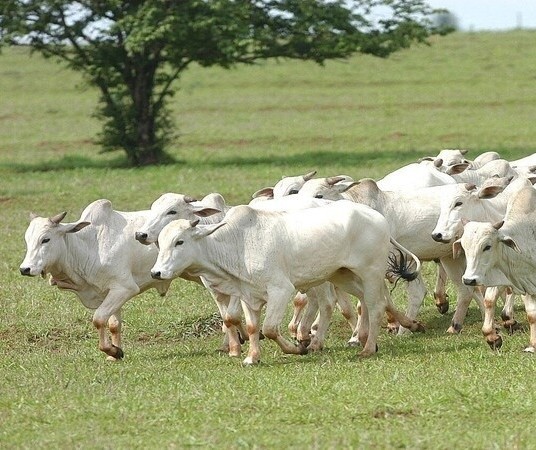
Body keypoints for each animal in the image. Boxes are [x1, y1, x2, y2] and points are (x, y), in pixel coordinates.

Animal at [18, 200, 172, 358]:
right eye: (27, 240)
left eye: (45, 239)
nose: (25, 269)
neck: (90, 246)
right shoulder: (110, 292)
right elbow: (114, 324)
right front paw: (114, 354)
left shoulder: (125, 288)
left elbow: (99, 319)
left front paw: (112, 350)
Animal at [150, 202, 422, 364]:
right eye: (160, 243)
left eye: (180, 242)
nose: (156, 272)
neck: (238, 244)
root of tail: (377, 217)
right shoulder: (248, 295)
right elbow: (252, 328)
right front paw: (252, 358)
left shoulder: (281, 290)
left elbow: (270, 329)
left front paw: (297, 348)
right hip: (342, 275)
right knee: (372, 300)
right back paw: (407, 325)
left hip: (370, 272)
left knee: (375, 306)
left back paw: (367, 347)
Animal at [454, 185, 536, 352]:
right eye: (464, 247)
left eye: (487, 246)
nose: (469, 280)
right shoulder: (520, 281)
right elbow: (530, 314)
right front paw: (493, 337)